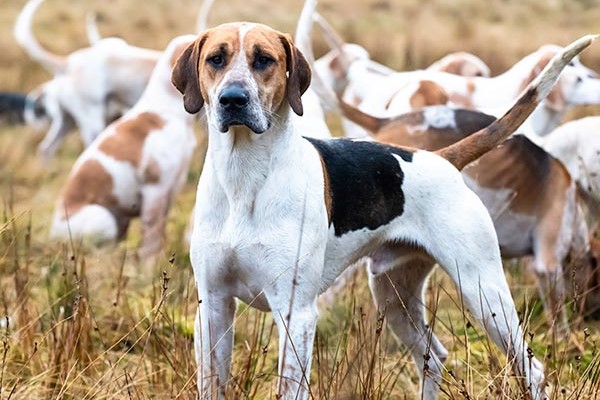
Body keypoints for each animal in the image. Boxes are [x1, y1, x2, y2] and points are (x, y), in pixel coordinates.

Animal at [51, 36, 197, 258]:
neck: (166, 111)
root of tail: (52, 230)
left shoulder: (171, 188)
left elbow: (160, 232)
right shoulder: (155, 190)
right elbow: (151, 239)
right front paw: (150, 265)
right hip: (104, 219)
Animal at [171, 19, 592, 400]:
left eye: (264, 60)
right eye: (216, 59)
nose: (233, 99)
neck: (244, 178)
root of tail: (442, 158)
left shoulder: (296, 313)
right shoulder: (212, 307)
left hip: (484, 293)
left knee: (532, 370)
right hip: (393, 295)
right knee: (433, 357)